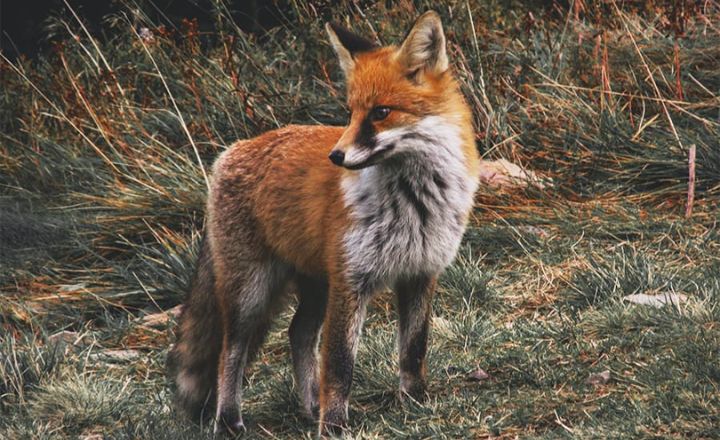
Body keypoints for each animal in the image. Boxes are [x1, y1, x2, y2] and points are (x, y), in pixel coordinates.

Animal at [168, 10, 480, 436]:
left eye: (380, 112)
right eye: (349, 113)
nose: (336, 156)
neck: (414, 203)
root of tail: (231, 151)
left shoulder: (421, 272)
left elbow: (413, 349)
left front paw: (415, 401)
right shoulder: (351, 281)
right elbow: (339, 364)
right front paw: (332, 425)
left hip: (315, 285)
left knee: (297, 333)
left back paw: (308, 406)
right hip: (251, 292)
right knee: (230, 351)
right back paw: (230, 419)